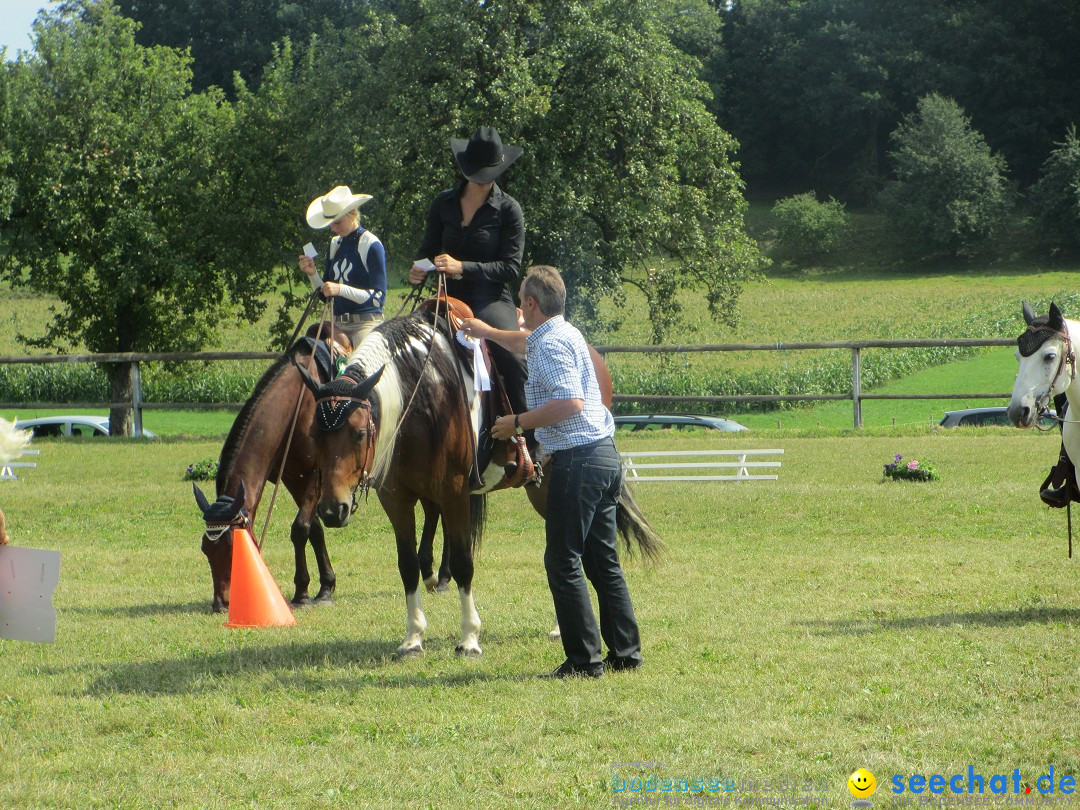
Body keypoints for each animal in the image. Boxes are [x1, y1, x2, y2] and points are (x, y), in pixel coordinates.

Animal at [295, 311, 656, 660]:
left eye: (358, 433)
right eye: (314, 435)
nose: (332, 510)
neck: (422, 398)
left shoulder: (454, 493)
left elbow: (463, 564)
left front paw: (469, 638)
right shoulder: (395, 498)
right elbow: (407, 565)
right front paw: (413, 638)